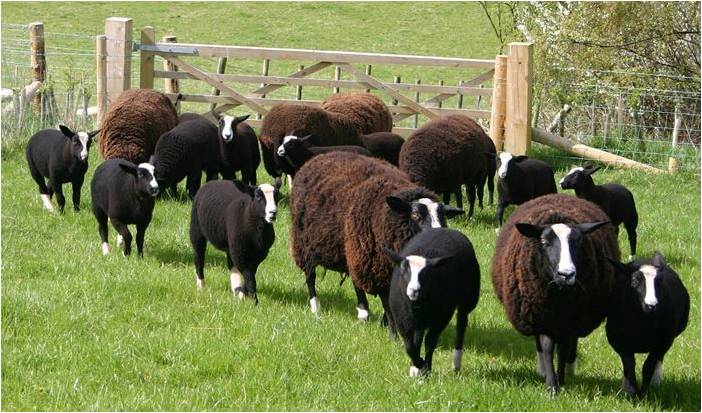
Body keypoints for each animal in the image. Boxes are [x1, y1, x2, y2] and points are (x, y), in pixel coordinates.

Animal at [291, 151, 464, 320]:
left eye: (443, 215)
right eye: (415, 215)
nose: (439, 237)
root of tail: (321, 156)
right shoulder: (375, 264)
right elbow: (385, 300)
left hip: (350, 247)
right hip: (307, 245)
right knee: (310, 276)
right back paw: (318, 307)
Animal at [382, 227, 480, 377]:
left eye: (426, 274)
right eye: (404, 271)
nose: (414, 290)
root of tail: (447, 229)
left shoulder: (441, 317)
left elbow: (430, 342)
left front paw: (425, 367)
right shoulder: (402, 320)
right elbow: (410, 346)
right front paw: (417, 365)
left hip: (468, 299)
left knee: (461, 325)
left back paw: (456, 363)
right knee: (418, 336)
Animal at [491, 193, 620, 392]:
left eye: (578, 241)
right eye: (544, 242)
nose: (566, 274)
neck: (559, 297)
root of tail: (558, 195)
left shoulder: (571, 319)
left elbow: (564, 347)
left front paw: (561, 379)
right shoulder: (540, 316)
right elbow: (547, 346)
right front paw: (551, 385)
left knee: (571, 343)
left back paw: (569, 369)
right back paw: (543, 369)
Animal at [606, 252, 690, 396]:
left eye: (659, 283)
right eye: (634, 281)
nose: (652, 305)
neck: (642, 323)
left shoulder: (662, 342)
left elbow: (648, 366)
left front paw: (644, 394)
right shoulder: (619, 342)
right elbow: (629, 364)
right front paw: (631, 392)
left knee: (659, 359)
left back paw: (656, 382)